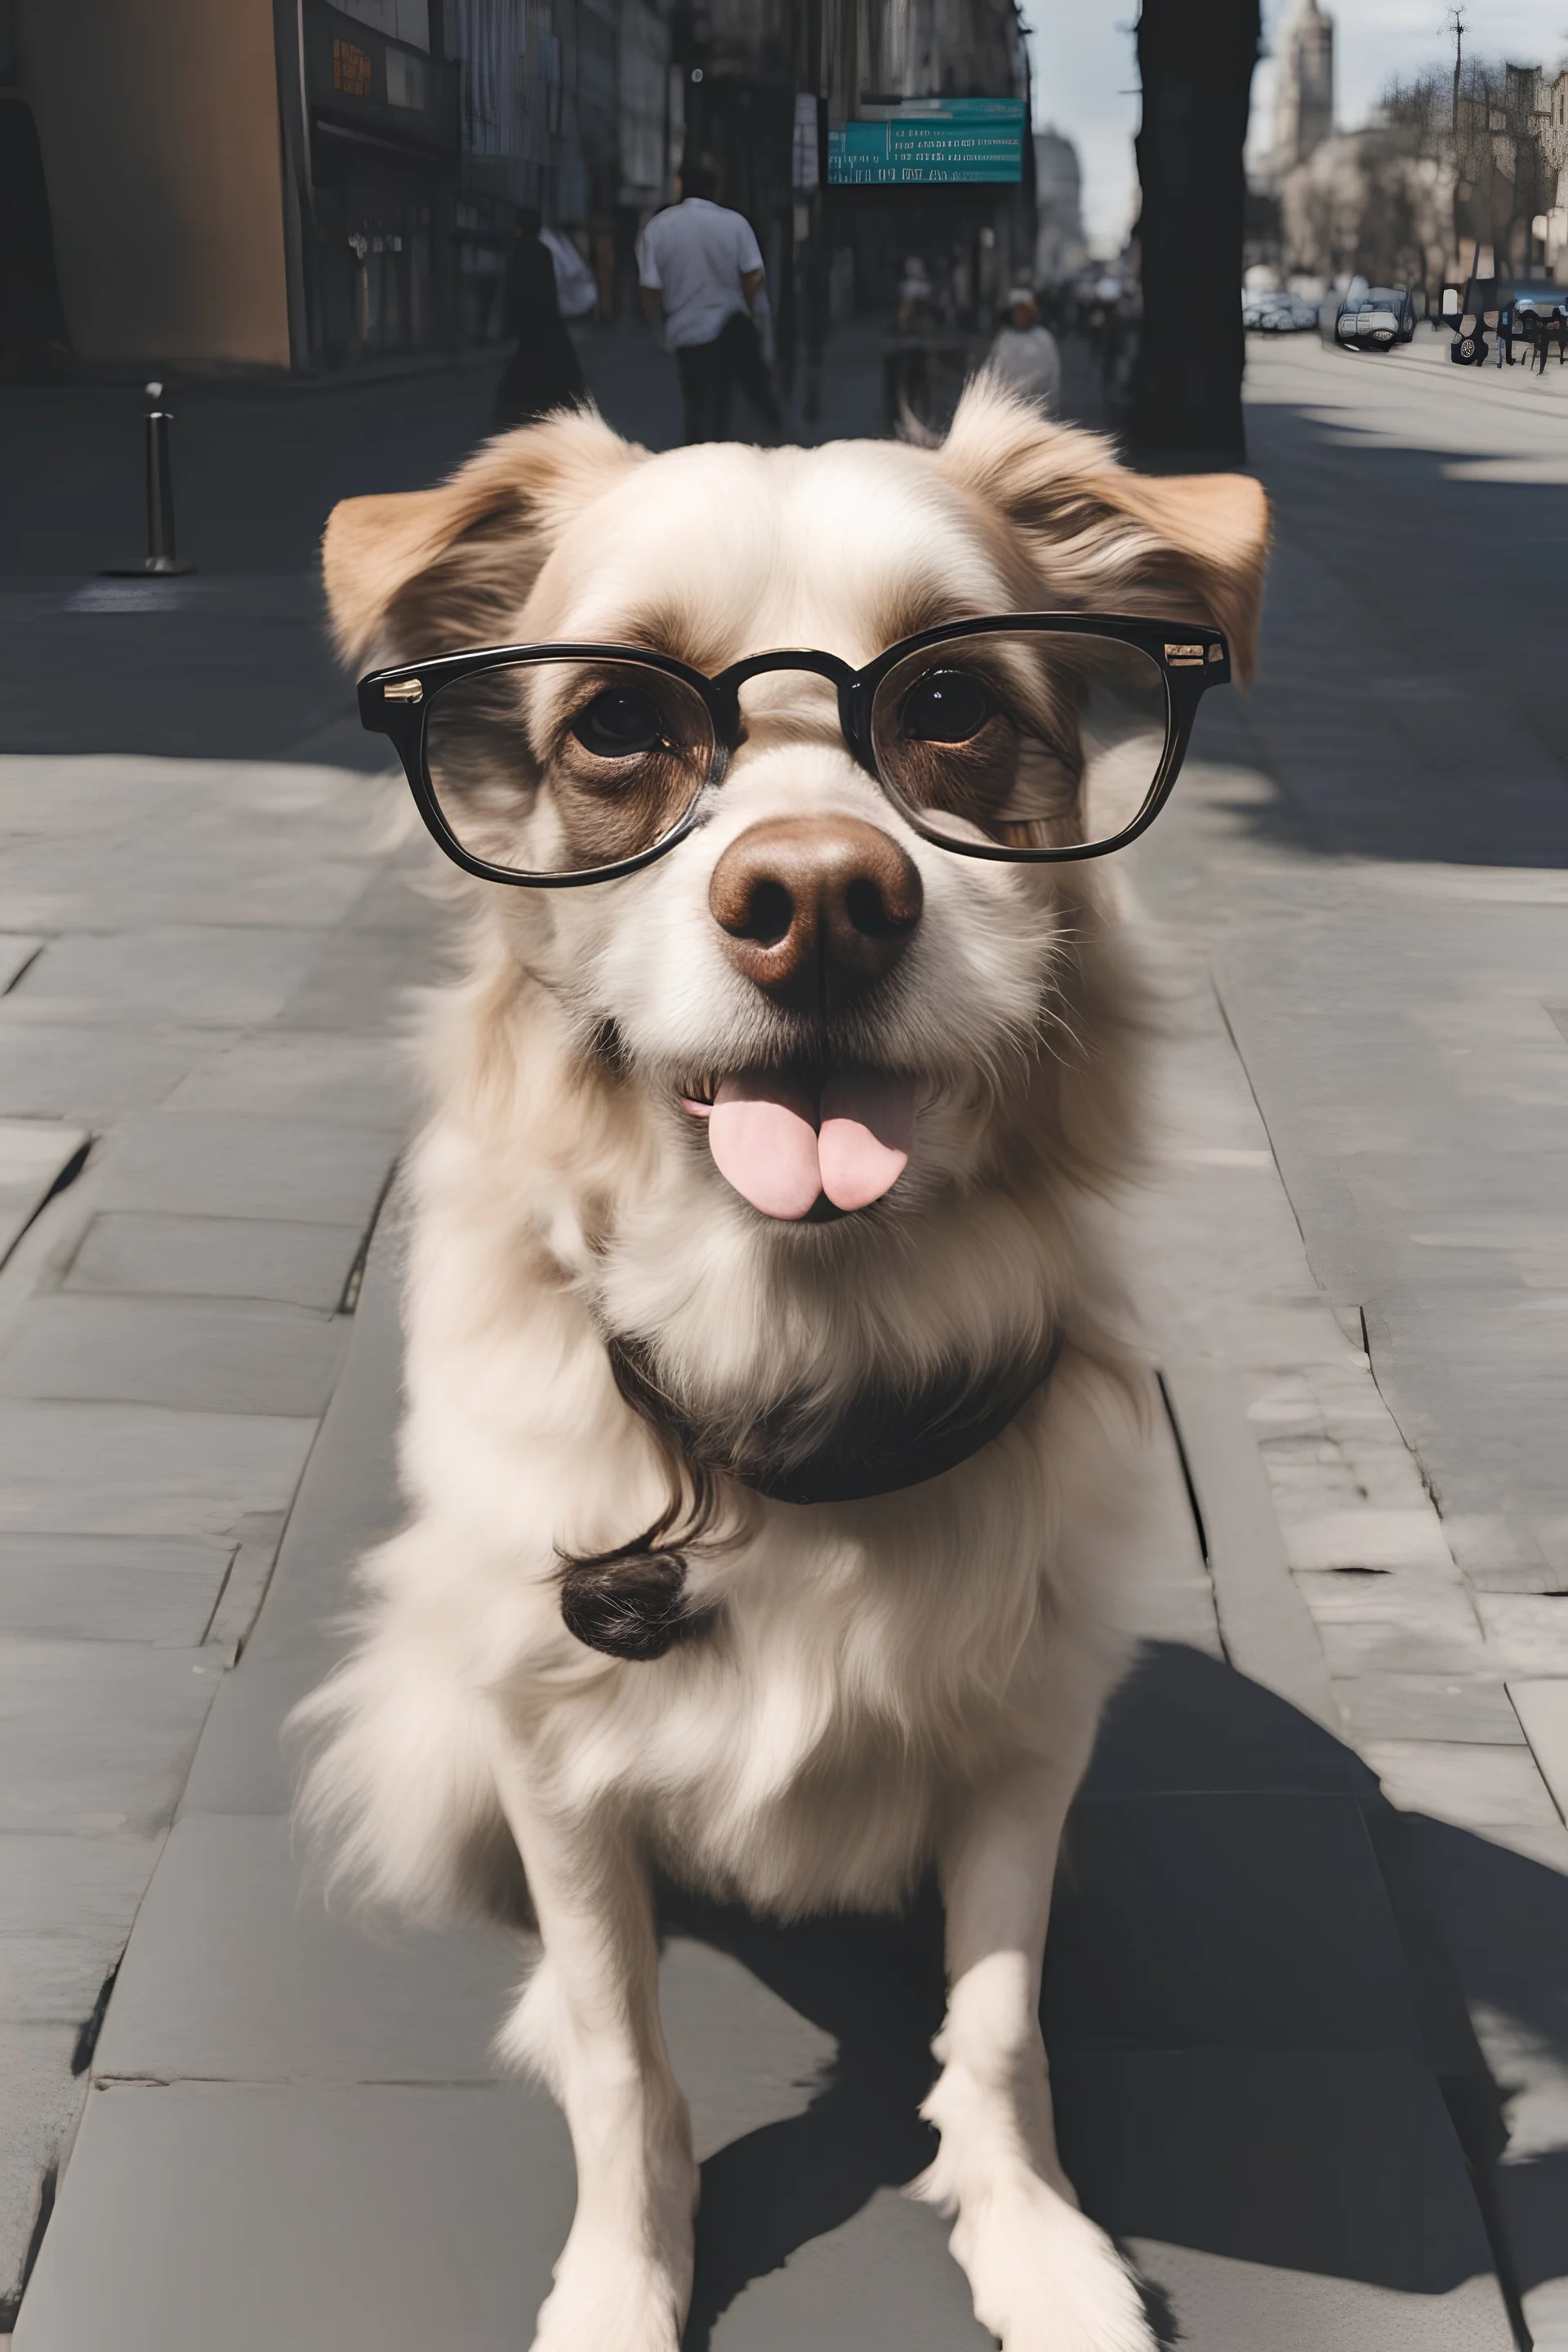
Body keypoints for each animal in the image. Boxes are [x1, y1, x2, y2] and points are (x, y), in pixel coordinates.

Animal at [297, 385, 1278, 2352]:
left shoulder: (1027, 1741)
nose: (821, 898)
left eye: (954, 700)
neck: (800, 1339)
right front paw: (622, 2279)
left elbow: (997, 2029)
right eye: (615, 724)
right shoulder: (553, 1757)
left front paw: (1037, 2243)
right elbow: (623, 2060)